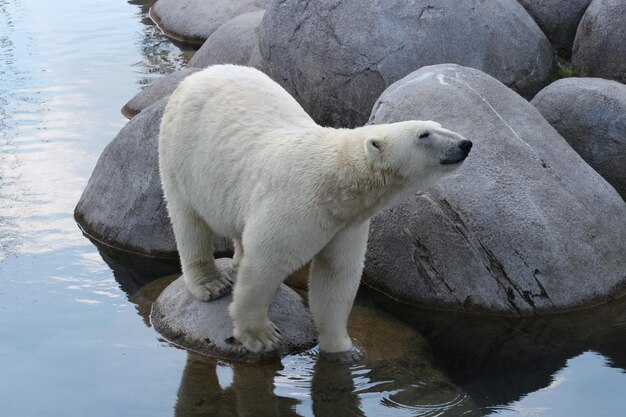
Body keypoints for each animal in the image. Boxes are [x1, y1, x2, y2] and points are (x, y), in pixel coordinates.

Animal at [158, 65, 470, 354]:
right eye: (424, 134)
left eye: (438, 124)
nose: (465, 143)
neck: (338, 181)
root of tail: (197, 75)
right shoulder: (296, 203)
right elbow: (266, 263)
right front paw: (261, 336)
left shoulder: (347, 223)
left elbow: (336, 274)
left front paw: (342, 347)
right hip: (180, 154)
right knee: (188, 219)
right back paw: (210, 283)